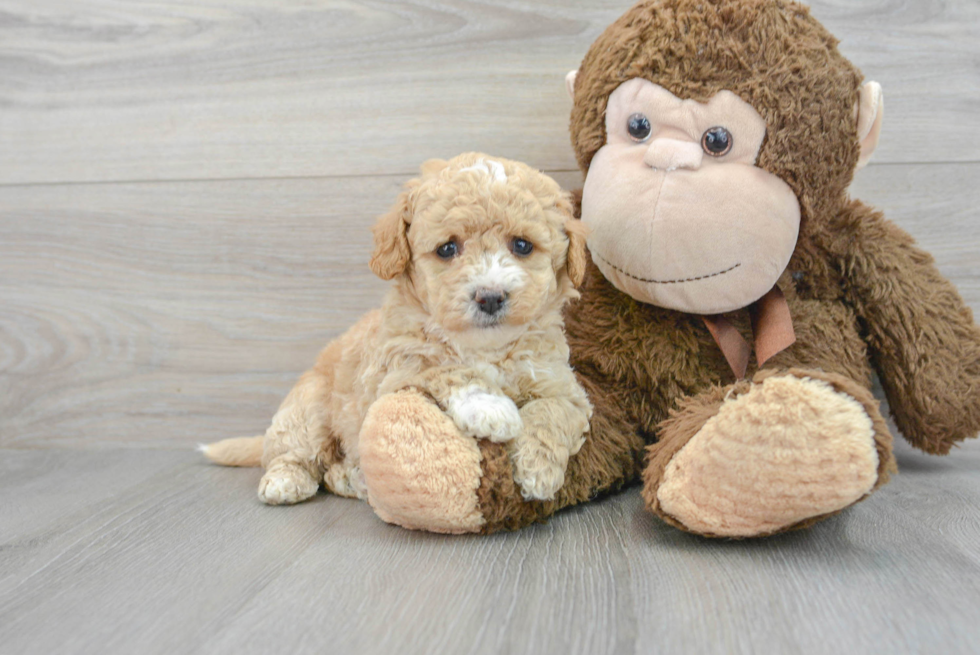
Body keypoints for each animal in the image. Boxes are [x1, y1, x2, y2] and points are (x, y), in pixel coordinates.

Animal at [201, 152, 588, 508]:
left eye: (522, 245)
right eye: (447, 248)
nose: (490, 297)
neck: (484, 347)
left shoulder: (563, 385)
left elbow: (553, 411)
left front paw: (538, 472)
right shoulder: (399, 368)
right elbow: (446, 368)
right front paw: (491, 408)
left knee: (332, 471)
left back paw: (353, 478)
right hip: (307, 408)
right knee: (292, 452)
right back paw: (286, 481)